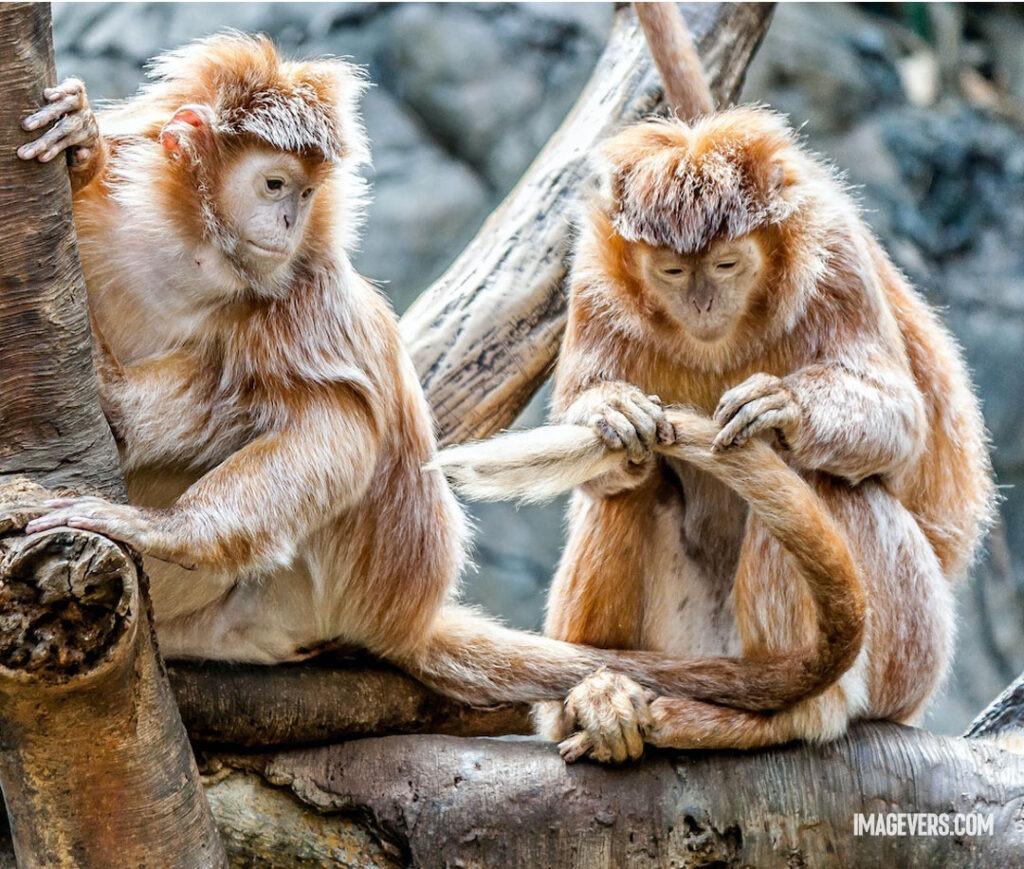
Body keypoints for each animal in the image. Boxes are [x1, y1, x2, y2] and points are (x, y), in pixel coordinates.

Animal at [434, 105, 995, 762]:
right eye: (673, 271)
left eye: (727, 264)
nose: (702, 302)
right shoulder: (593, 275)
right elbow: (604, 452)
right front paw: (609, 412)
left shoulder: (835, 254)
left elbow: (902, 423)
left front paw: (786, 408)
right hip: (685, 642)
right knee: (631, 488)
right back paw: (595, 697)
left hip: (913, 649)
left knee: (826, 481)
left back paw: (794, 710)